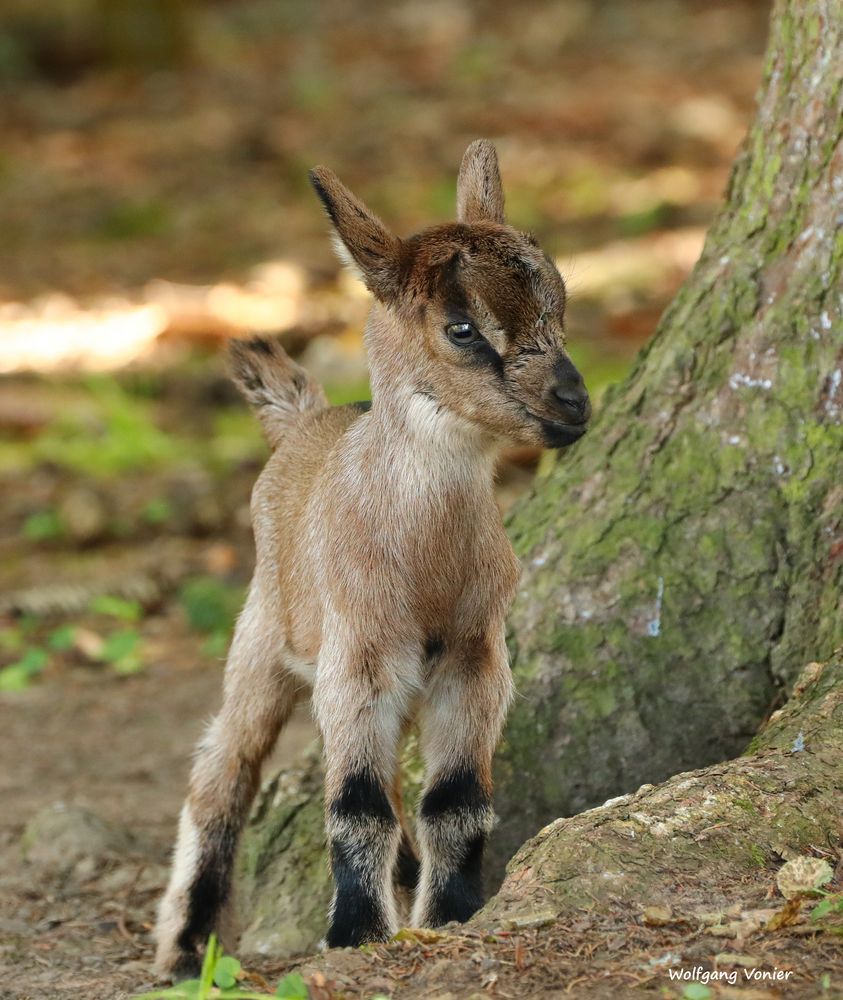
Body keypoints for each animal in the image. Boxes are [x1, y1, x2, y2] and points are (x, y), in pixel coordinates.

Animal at [158, 141, 592, 976]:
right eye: (462, 327)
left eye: (558, 306)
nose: (572, 403)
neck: (425, 566)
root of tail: (303, 421)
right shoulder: (355, 659)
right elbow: (354, 808)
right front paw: (356, 934)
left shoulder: (475, 659)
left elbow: (455, 802)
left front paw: (449, 916)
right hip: (262, 640)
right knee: (221, 774)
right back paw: (184, 947)